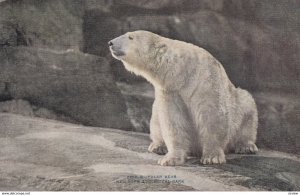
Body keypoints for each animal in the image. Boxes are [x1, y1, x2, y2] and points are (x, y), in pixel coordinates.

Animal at [108, 30, 258, 166]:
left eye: (130, 37)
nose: (110, 43)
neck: (183, 71)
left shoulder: (205, 81)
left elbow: (212, 115)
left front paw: (212, 157)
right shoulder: (170, 90)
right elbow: (173, 121)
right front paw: (170, 159)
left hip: (239, 102)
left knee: (248, 109)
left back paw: (246, 146)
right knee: (155, 118)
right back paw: (158, 146)